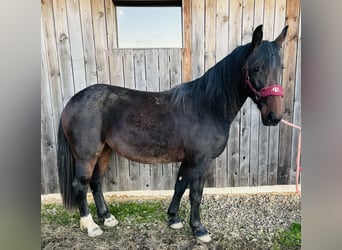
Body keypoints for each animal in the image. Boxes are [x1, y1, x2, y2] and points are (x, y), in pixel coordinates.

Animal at [57, 25, 288, 242]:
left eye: (281, 68)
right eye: (256, 68)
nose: (274, 116)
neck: (207, 107)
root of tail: (72, 101)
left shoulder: (188, 160)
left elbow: (180, 186)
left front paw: (174, 219)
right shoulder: (201, 161)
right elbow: (196, 194)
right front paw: (199, 229)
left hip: (104, 151)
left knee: (96, 182)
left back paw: (107, 217)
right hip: (86, 156)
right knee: (80, 185)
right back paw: (90, 226)